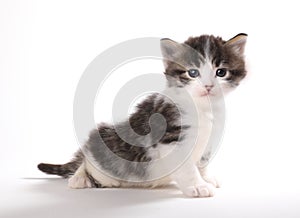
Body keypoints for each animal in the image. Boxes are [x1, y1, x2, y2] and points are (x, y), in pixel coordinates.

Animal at [38, 33, 247, 198]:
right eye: (193, 73)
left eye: (221, 72)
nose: (208, 86)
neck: (204, 109)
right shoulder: (171, 138)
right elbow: (187, 166)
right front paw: (197, 186)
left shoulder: (211, 138)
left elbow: (203, 161)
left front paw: (206, 178)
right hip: (104, 141)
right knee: (88, 163)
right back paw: (80, 178)